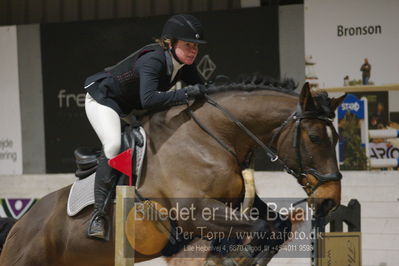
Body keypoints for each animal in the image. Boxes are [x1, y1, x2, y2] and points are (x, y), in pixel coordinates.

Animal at [0, 78, 346, 264]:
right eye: (315, 137)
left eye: (337, 139)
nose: (330, 200)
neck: (210, 137)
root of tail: (18, 227)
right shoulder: (194, 213)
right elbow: (261, 227)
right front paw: (231, 257)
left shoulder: (237, 203)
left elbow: (278, 225)